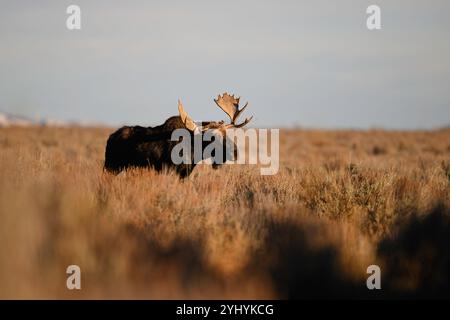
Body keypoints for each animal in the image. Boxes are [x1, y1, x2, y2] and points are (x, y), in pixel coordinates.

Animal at [104, 92, 253, 179]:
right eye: (212, 137)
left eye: (227, 134)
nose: (235, 152)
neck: (195, 153)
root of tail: (110, 137)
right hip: (111, 167)